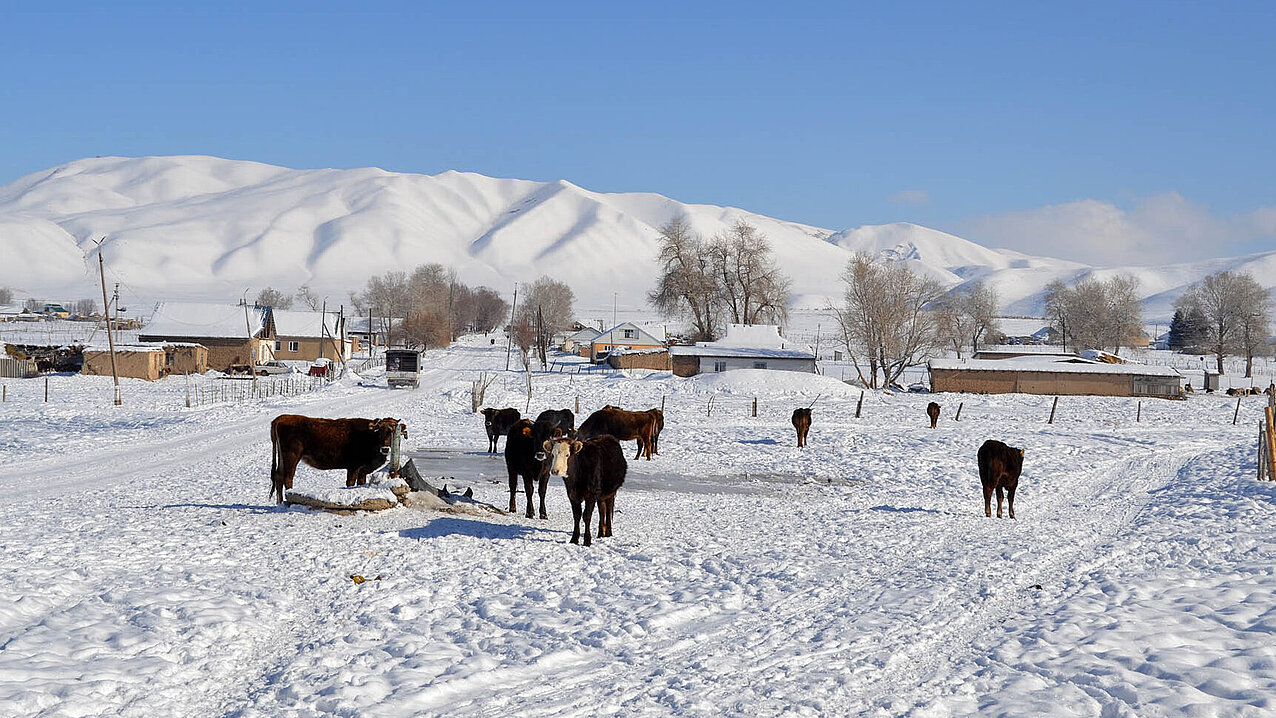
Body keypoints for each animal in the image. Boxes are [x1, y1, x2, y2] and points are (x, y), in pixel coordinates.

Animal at [267, 415, 403, 505]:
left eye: (393, 431)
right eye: (379, 431)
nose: (385, 449)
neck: (368, 435)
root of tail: (281, 418)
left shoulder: (362, 470)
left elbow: (360, 483)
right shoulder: (353, 467)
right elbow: (350, 483)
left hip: (283, 458)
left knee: (279, 476)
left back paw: (279, 502)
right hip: (292, 457)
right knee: (288, 478)